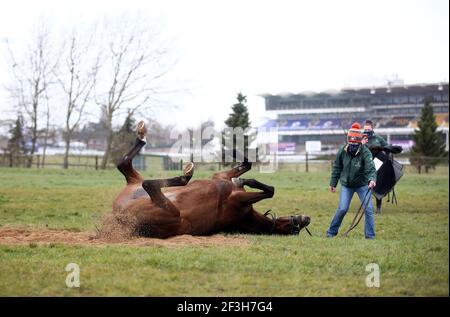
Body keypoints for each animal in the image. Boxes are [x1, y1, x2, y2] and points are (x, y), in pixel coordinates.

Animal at [110, 121, 312, 237]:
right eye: (296, 227)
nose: (306, 218)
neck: (246, 215)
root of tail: (119, 219)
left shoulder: (238, 199)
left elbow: (269, 190)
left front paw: (243, 180)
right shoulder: (223, 178)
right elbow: (249, 168)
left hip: (170, 210)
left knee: (146, 182)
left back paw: (185, 174)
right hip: (135, 185)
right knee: (125, 165)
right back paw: (142, 135)